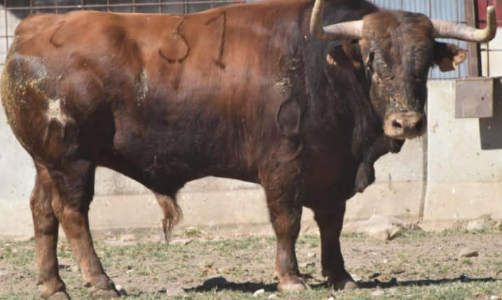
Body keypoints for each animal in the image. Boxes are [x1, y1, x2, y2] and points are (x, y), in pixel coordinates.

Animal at [0, 0, 494, 298]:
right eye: (373, 59)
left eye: (423, 62)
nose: (406, 122)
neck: (324, 66)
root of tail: (33, 28)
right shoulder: (283, 164)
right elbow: (287, 222)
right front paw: (291, 278)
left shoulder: (331, 171)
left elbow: (332, 225)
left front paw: (340, 276)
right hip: (72, 160)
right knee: (72, 214)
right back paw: (100, 281)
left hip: (45, 162)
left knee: (42, 213)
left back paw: (53, 284)